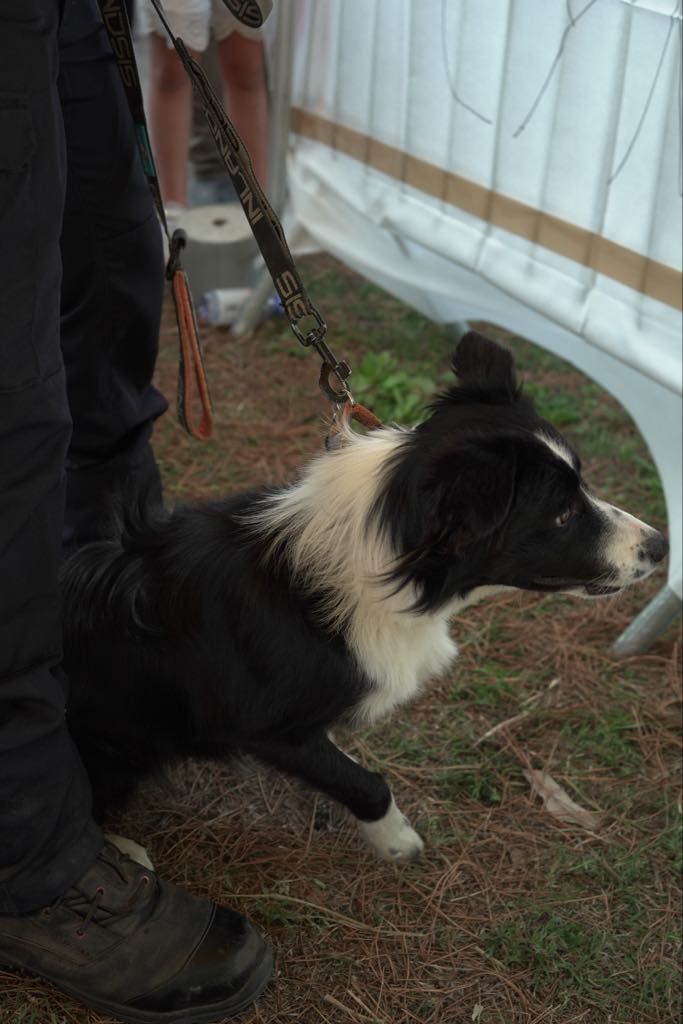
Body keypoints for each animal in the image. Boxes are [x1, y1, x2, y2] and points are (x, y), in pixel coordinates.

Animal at [61, 331, 671, 860]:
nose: (662, 545)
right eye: (562, 514)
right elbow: (365, 781)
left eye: (582, 486)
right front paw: (397, 842)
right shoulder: (263, 727)